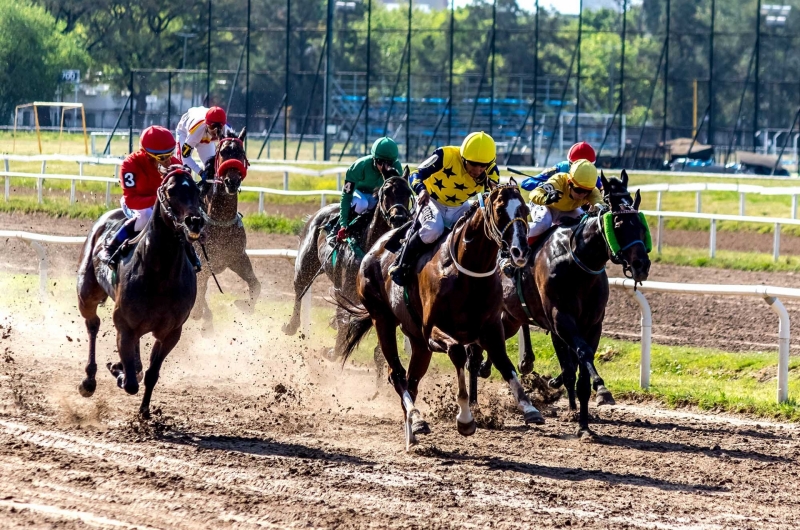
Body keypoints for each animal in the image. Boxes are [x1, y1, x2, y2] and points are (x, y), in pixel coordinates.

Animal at [76, 165, 205, 416]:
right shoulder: (125, 326)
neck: (161, 275)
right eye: (171, 190)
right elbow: (130, 383)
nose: (195, 221)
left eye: (197, 190)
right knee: (93, 324)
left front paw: (144, 411)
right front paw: (118, 370)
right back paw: (89, 379)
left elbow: (151, 374)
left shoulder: (171, 332)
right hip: (86, 294)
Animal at [190, 126, 260, 330]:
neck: (220, 222)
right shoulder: (204, 266)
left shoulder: (237, 257)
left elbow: (256, 285)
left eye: (241, 153)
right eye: (222, 153)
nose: (232, 181)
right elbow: (199, 297)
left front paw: (244, 305)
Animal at [282, 167, 412, 370]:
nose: (399, 218)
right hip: (306, 263)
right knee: (299, 289)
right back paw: (292, 325)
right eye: (386, 192)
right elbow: (343, 320)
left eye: (408, 192)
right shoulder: (345, 290)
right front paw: (332, 351)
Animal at [338, 179, 544, 448]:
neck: (467, 273)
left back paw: (412, 431)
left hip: (417, 341)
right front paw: (465, 418)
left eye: (525, 210)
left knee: (412, 380)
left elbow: (503, 361)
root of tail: (374, 250)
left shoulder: (490, 328)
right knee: (397, 374)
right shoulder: (434, 332)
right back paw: (417, 418)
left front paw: (530, 408)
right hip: (382, 319)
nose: (520, 252)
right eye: (500, 210)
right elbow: (457, 352)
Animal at [468, 170, 648, 438]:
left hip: (510, 318)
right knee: (472, 354)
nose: (641, 265)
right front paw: (601, 389)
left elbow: (579, 367)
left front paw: (584, 424)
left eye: (640, 224)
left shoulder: (592, 324)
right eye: (617, 224)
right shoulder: (559, 318)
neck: (578, 261)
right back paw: (475, 407)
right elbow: (580, 355)